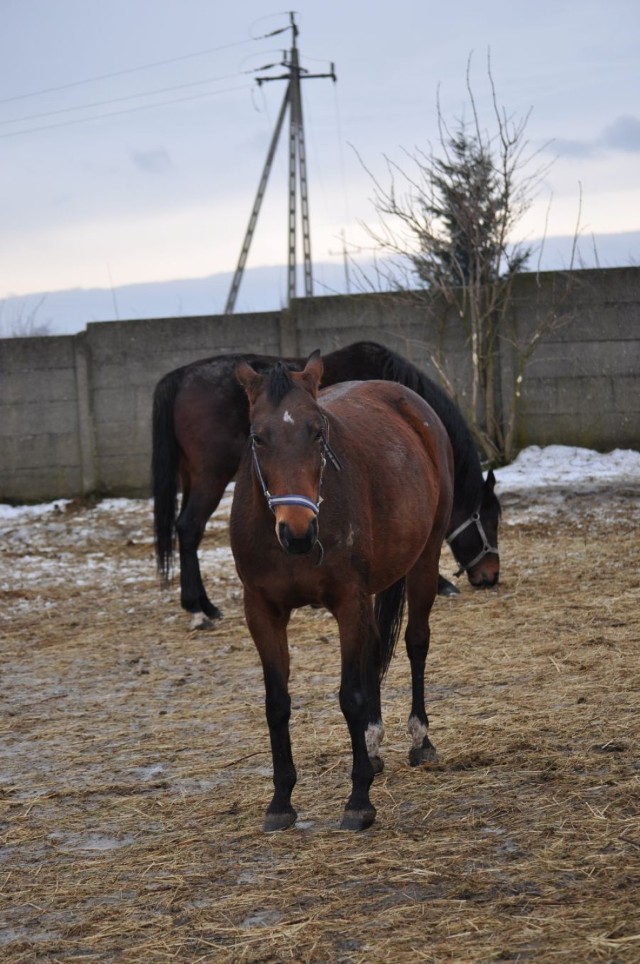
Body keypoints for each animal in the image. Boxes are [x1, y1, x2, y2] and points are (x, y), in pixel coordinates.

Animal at [152, 338, 502, 624]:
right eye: (490, 518)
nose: (491, 575)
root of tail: (179, 377)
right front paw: (442, 583)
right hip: (210, 476)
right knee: (190, 527)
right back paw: (199, 608)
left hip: (192, 475)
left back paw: (200, 604)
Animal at [230, 350, 456, 832]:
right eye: (258, 437)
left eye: (318, 432)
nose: (297, 531)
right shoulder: (261, 611)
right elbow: (276, 702)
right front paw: (281, 802)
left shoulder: (348, 602)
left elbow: (350, 696)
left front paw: (359, 800)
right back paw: (372, 744)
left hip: (424, 559)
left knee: (416, 642)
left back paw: (420, 740)